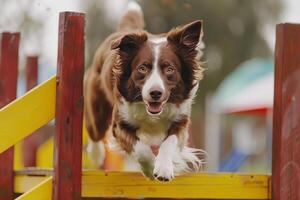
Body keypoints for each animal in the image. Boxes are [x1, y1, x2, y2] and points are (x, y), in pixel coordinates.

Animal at [84, 1, 206, 181]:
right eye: (142, 68)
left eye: (169, 69)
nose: (155, 93)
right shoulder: (119, 123)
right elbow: (141, 148)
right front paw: (150, 169)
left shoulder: (181, 121)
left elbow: (169, 141)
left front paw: (163, 168)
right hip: (97, 109)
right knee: (95, 132)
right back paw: (96, 155)